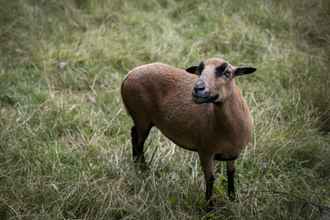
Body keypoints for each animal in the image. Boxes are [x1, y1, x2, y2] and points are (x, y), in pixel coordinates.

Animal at [120, 56, 255, 208]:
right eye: (199, 71)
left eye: (227, 72)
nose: (197, 89)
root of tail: (129, 75)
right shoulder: (205, 152)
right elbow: (210, 178)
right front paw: (209, 207)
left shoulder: (232, 154)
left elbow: (231, 173)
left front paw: (232, 199)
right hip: (141, 117)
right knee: (138, 141)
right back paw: (142, 170)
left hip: (141, 119)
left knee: (134, 135)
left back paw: (141, 168)